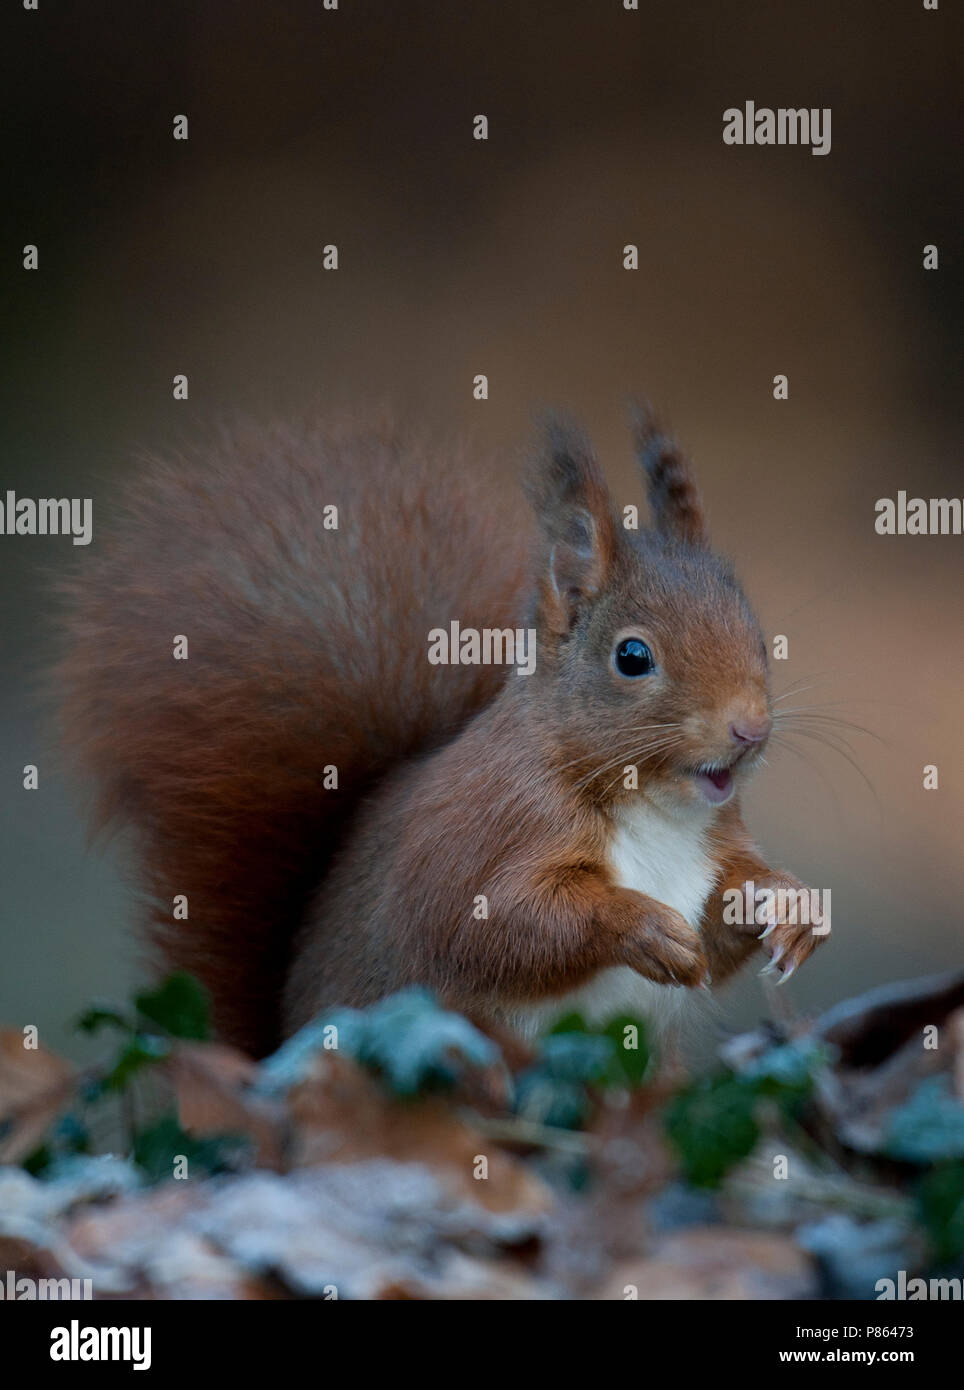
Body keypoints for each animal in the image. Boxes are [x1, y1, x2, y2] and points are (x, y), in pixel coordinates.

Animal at [62, 405, 833, 1056]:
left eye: (755, 633)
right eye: (633, 657)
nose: (750, 728)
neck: (651, 808)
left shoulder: (714, 847)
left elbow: (723, 922)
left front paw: (789, 904)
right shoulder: (487, 834)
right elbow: (492, 928)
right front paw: (639, 925)